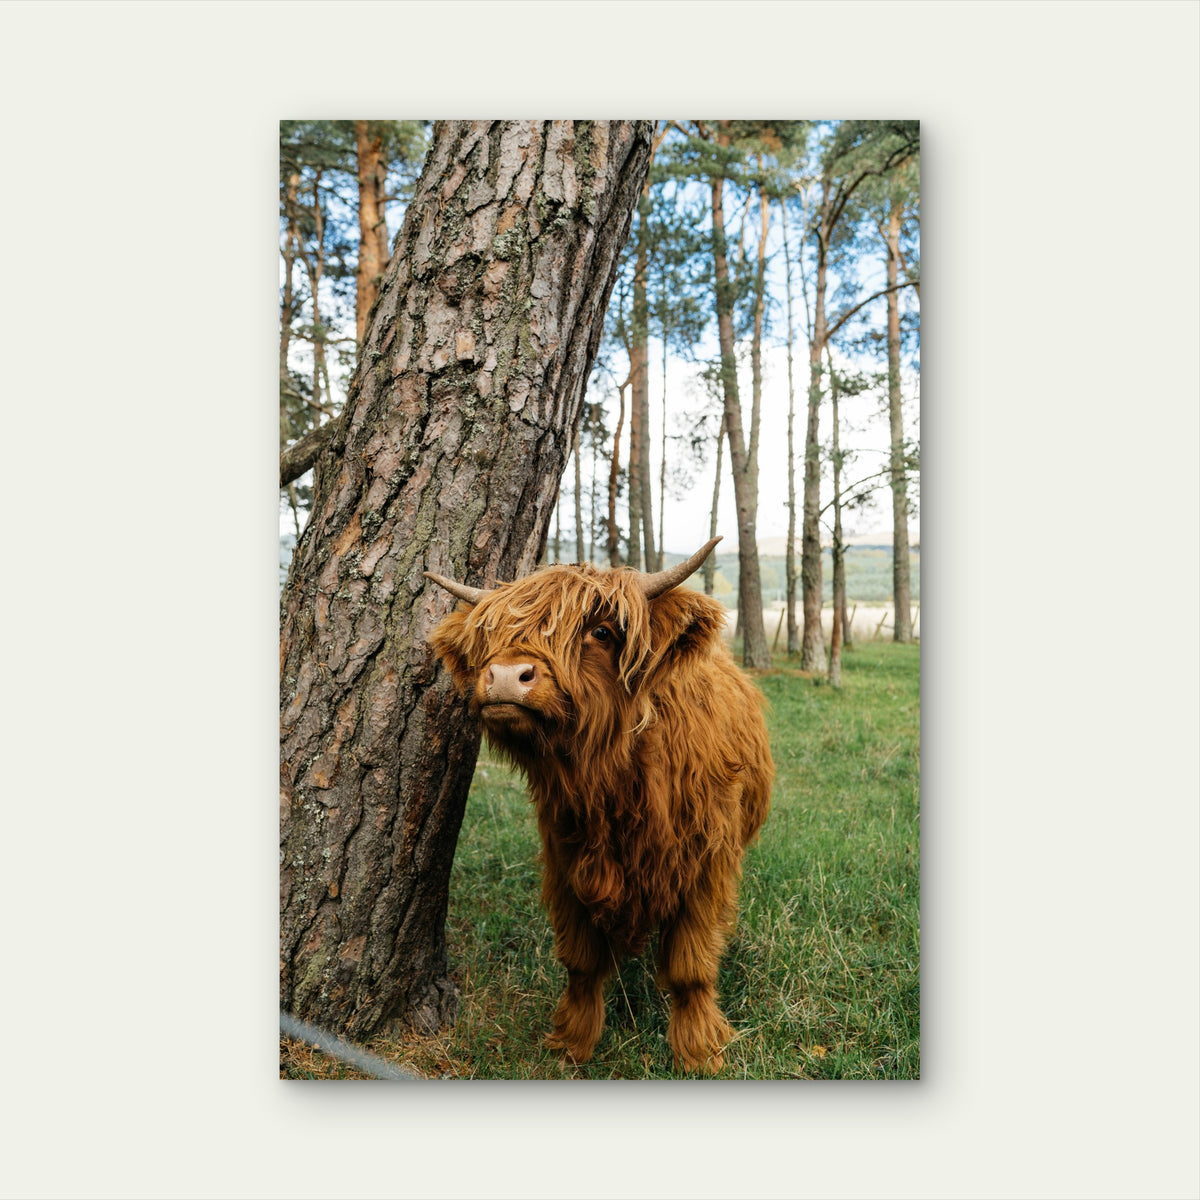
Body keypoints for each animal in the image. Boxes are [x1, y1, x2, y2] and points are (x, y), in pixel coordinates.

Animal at [425, 537, 773, 1073]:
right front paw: (572, 1041)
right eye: (491, 636)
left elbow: (690, 964)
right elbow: (581, 960)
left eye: (602, 632)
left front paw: (699, 1050)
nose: (504, 677)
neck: (613, 783)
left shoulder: (705, 866)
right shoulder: (567, 860)